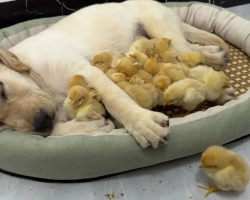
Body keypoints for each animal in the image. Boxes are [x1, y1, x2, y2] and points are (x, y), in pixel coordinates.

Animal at [0, 0, 232, 148]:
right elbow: (54, 132)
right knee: (192, 53)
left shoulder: (85, 72)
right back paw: (216, 56)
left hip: (159, 27)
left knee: (190, 60)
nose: (41, 122)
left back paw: (218, 88)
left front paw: (142, 123)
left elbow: (115, 100)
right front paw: (91, 127)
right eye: (1, 123)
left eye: (2, 90)